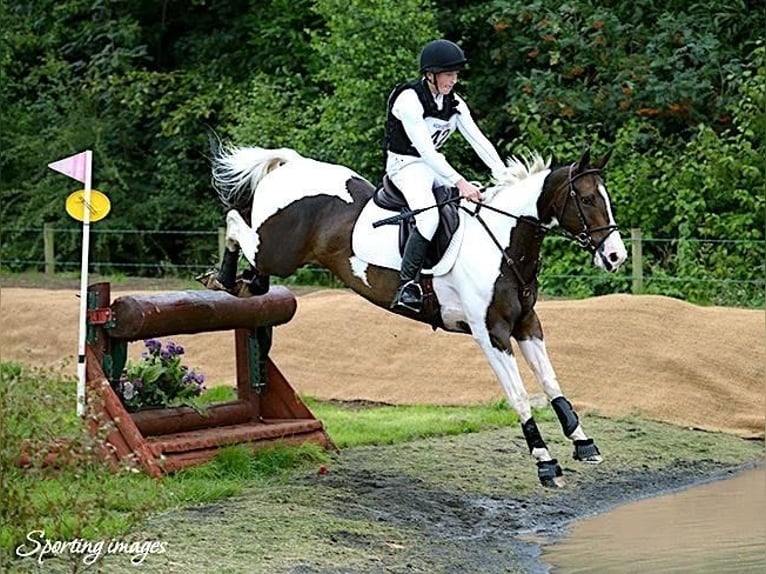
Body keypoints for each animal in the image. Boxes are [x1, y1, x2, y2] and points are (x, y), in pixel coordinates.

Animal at [202, 142, 632, 488]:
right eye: (588, 200)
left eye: (606, 198)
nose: (616, 256)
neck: (504, 243)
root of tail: (291, 164)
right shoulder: (490, 332)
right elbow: (520, 395)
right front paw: (545, 462)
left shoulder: (527, 325)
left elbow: (551, 382)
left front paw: (583, 442)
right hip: (279, 250)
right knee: (236, 225)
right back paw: (219, 277)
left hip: (276, 257)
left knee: (254, 272)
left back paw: (241, 284)